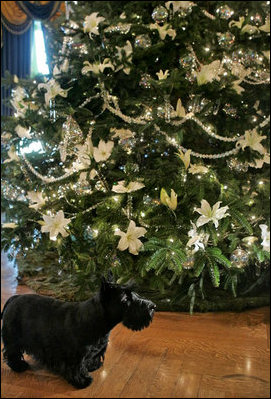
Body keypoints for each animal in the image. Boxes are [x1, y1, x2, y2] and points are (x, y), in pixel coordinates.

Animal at [1, 280, 156, 390]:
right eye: (125, 299)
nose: (153, 306)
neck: (97, 321)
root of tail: (14, 298)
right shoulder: (75, 356)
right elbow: (76, 368)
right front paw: (83, 381)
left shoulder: (95, 351)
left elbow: (91, 360)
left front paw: (92, 366)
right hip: (13, 339)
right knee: (12, 353)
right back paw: (19, 366)